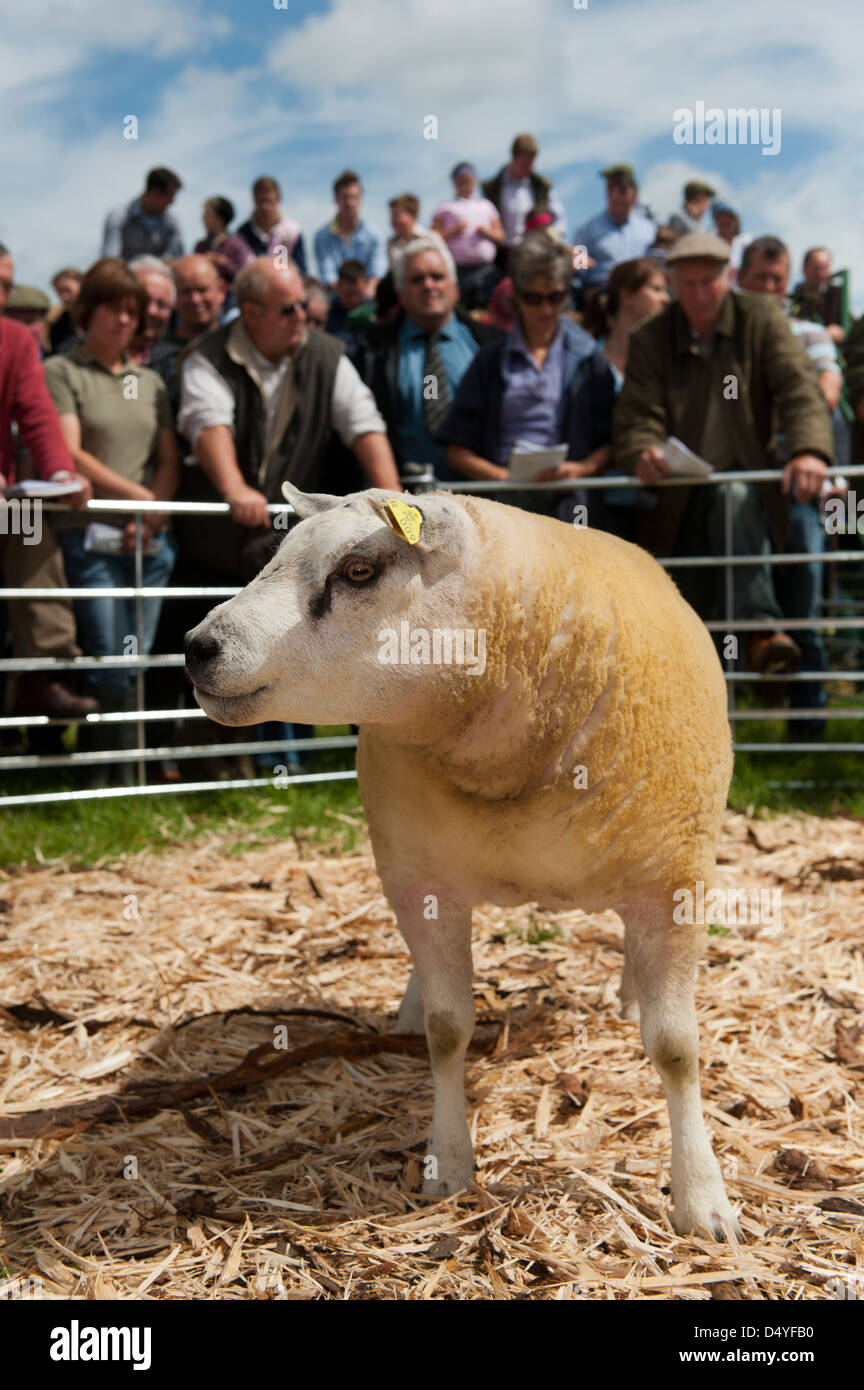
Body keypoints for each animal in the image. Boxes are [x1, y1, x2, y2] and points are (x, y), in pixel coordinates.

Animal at [184, 482, 740, 1241]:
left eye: (359, 570)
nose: (197, 648)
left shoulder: (674, 878)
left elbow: (677, 1049)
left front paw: (703, 1200)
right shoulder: (420, 879)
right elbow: (448, 1034)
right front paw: (446, 1163)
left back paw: (630, 995)